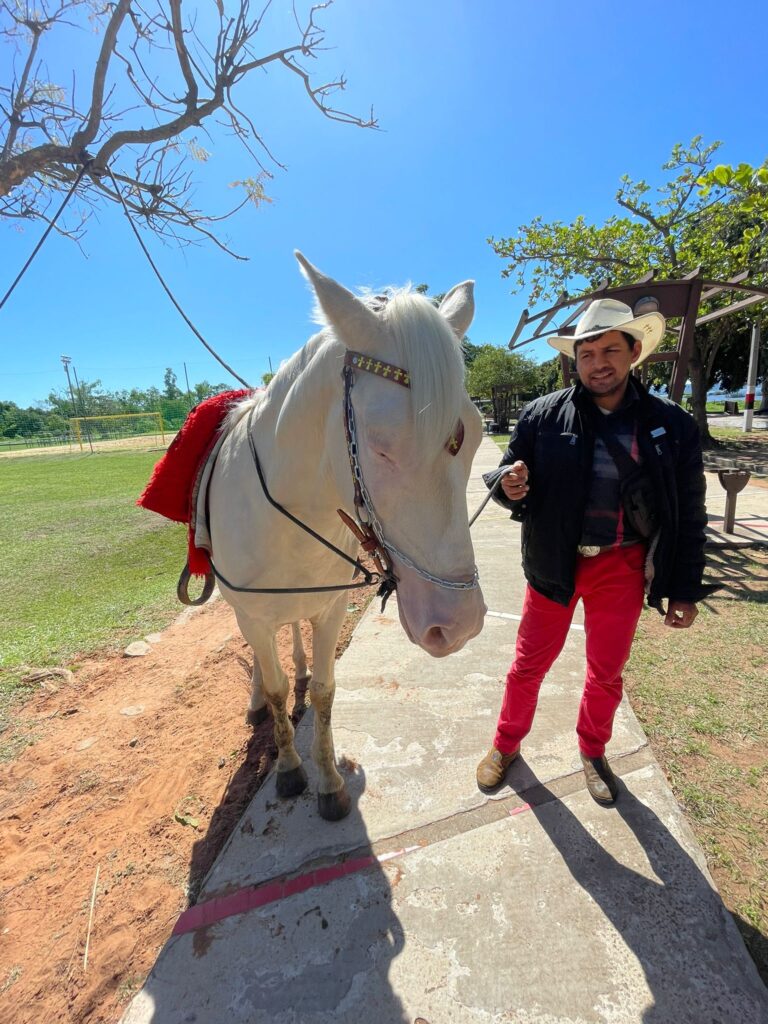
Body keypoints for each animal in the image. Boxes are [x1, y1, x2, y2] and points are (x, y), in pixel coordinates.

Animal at [207, 258, 487, 823]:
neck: (292, 514)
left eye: (476, 432)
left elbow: (323, 690)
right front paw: (290, 768)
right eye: (379, 447)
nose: (459, 624)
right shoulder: (254, 612)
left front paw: (330, 780)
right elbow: (276, 692)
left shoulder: (331, 608)